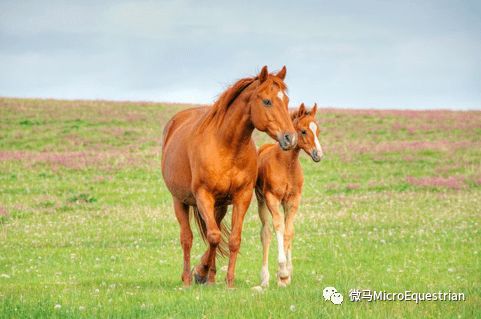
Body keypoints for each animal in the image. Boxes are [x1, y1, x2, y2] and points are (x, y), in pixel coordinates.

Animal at [161, 66, 296, 288]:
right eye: (267, 101)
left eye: (286, 100)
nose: (290, 138)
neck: (227, 145)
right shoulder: (203, 195)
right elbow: (214, 236)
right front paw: (200, 272)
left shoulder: (242, 196)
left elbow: (232, 239)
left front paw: (228, 281)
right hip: (179, 201)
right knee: (187, 238)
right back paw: (188, 278)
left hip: (219, 207)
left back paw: (211, 277)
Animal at [255, 103, 322, 288]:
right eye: (304, 131)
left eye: (318, 130)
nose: (318, 154)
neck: (286, 165)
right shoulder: (272, 198)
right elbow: (279, 228)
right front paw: (282, 271)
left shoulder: (293, 200)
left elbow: (289, 231)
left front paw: (285, 276)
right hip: (261, 201)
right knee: (266, 233)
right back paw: (264, 278)